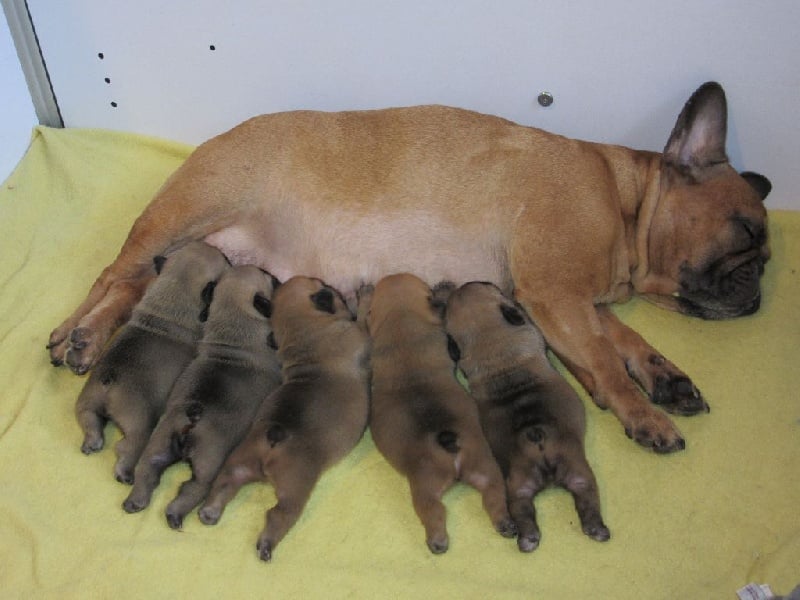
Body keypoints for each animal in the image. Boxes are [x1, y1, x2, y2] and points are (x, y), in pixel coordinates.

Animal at [74, 241, 228, 486]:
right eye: (224, 259)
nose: (224, 252)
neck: (176, 286)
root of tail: (109, 378)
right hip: (138, 424)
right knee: (128, 446)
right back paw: (125, 471)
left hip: (86, 403)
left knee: (89, 421)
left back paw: (91, 441)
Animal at [119, 262, 282, 524]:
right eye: (267, 276)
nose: (275, 276)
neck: (234, 327)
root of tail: (192, 416)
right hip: (208, 461)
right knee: (195, 487)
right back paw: (176, 513)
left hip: (158, 444)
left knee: (147, 469)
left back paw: (136, 500)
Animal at [198, 276, 370, 564]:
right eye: (321, 284)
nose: (330, 286)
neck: (305, 331)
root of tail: (274, 436)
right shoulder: (357, 334)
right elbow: (366, 319)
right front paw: (365, 296)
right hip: (296, 483)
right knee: (279, 514)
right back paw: (267, 543)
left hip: (239, 460)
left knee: (225, 482)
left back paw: (210, 510)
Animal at [366, 274, 516, 556]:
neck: (401, 317)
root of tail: (447, 441)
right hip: (484, 466)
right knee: (493, 495)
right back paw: (504, 523)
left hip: (425, 486)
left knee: (433, 512)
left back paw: (437, 541)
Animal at [446, 282, 608, 552]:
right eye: (487, 285)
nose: (465, 283)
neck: (495, 347)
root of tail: (535, 435)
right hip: (577, 470)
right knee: (586, 496)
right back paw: (597, 529)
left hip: (519, 484)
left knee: (522, 510)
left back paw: (528, 538)